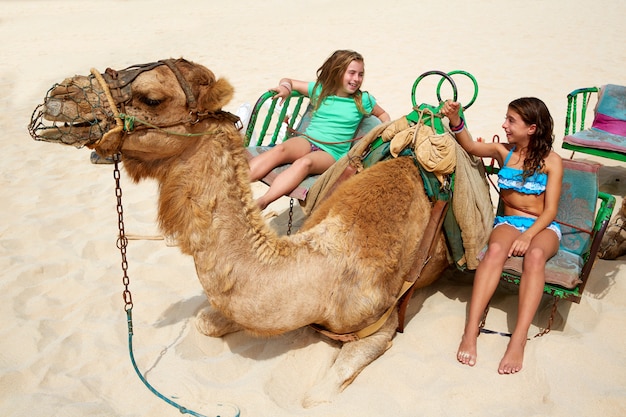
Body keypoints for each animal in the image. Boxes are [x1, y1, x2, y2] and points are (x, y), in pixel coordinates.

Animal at [28, 58, 448, 406]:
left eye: (151, 97)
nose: (59, 95)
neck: (322, 267)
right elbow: (206, 320)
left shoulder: (382, 323)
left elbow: (317, 396)